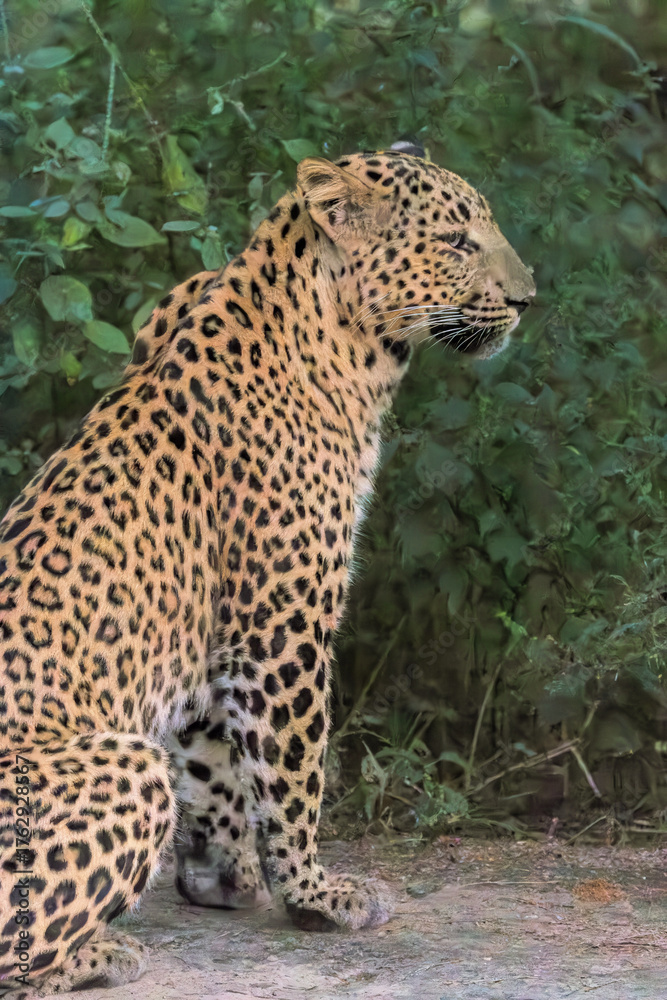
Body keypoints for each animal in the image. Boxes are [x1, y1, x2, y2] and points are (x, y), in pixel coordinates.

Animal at [0, 144, 535, 997]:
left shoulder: (211, 636)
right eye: (456, 241)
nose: (526, 299)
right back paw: (98, 953)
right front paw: (317, 894)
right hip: (124, 762)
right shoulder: (280, 623)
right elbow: (292, 769)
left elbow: (216, 761)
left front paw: (221, 878)